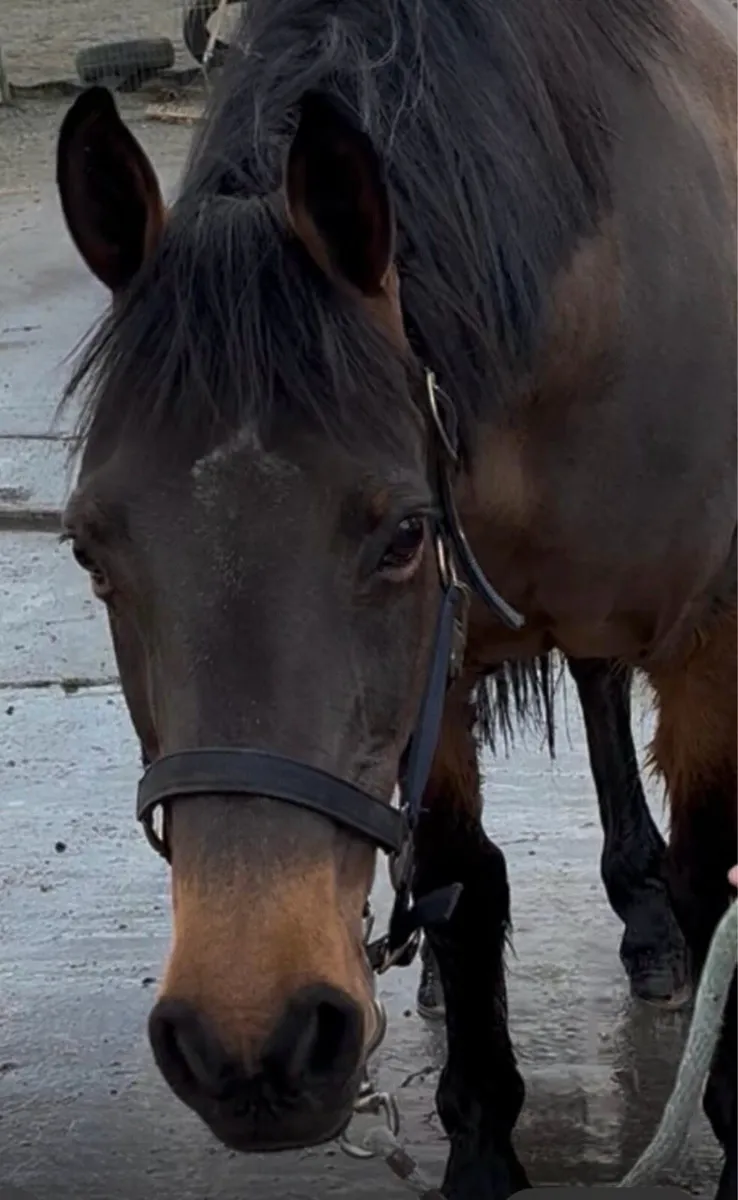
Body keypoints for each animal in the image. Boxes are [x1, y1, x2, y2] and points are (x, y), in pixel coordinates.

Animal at [54, 0, 736, 1193]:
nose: (252, 1045)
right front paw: (480, 1133)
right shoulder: (440, 672)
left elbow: (712, 878)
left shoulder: (707, 644)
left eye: (405, 534)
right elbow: (467, 884)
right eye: (91, 549)